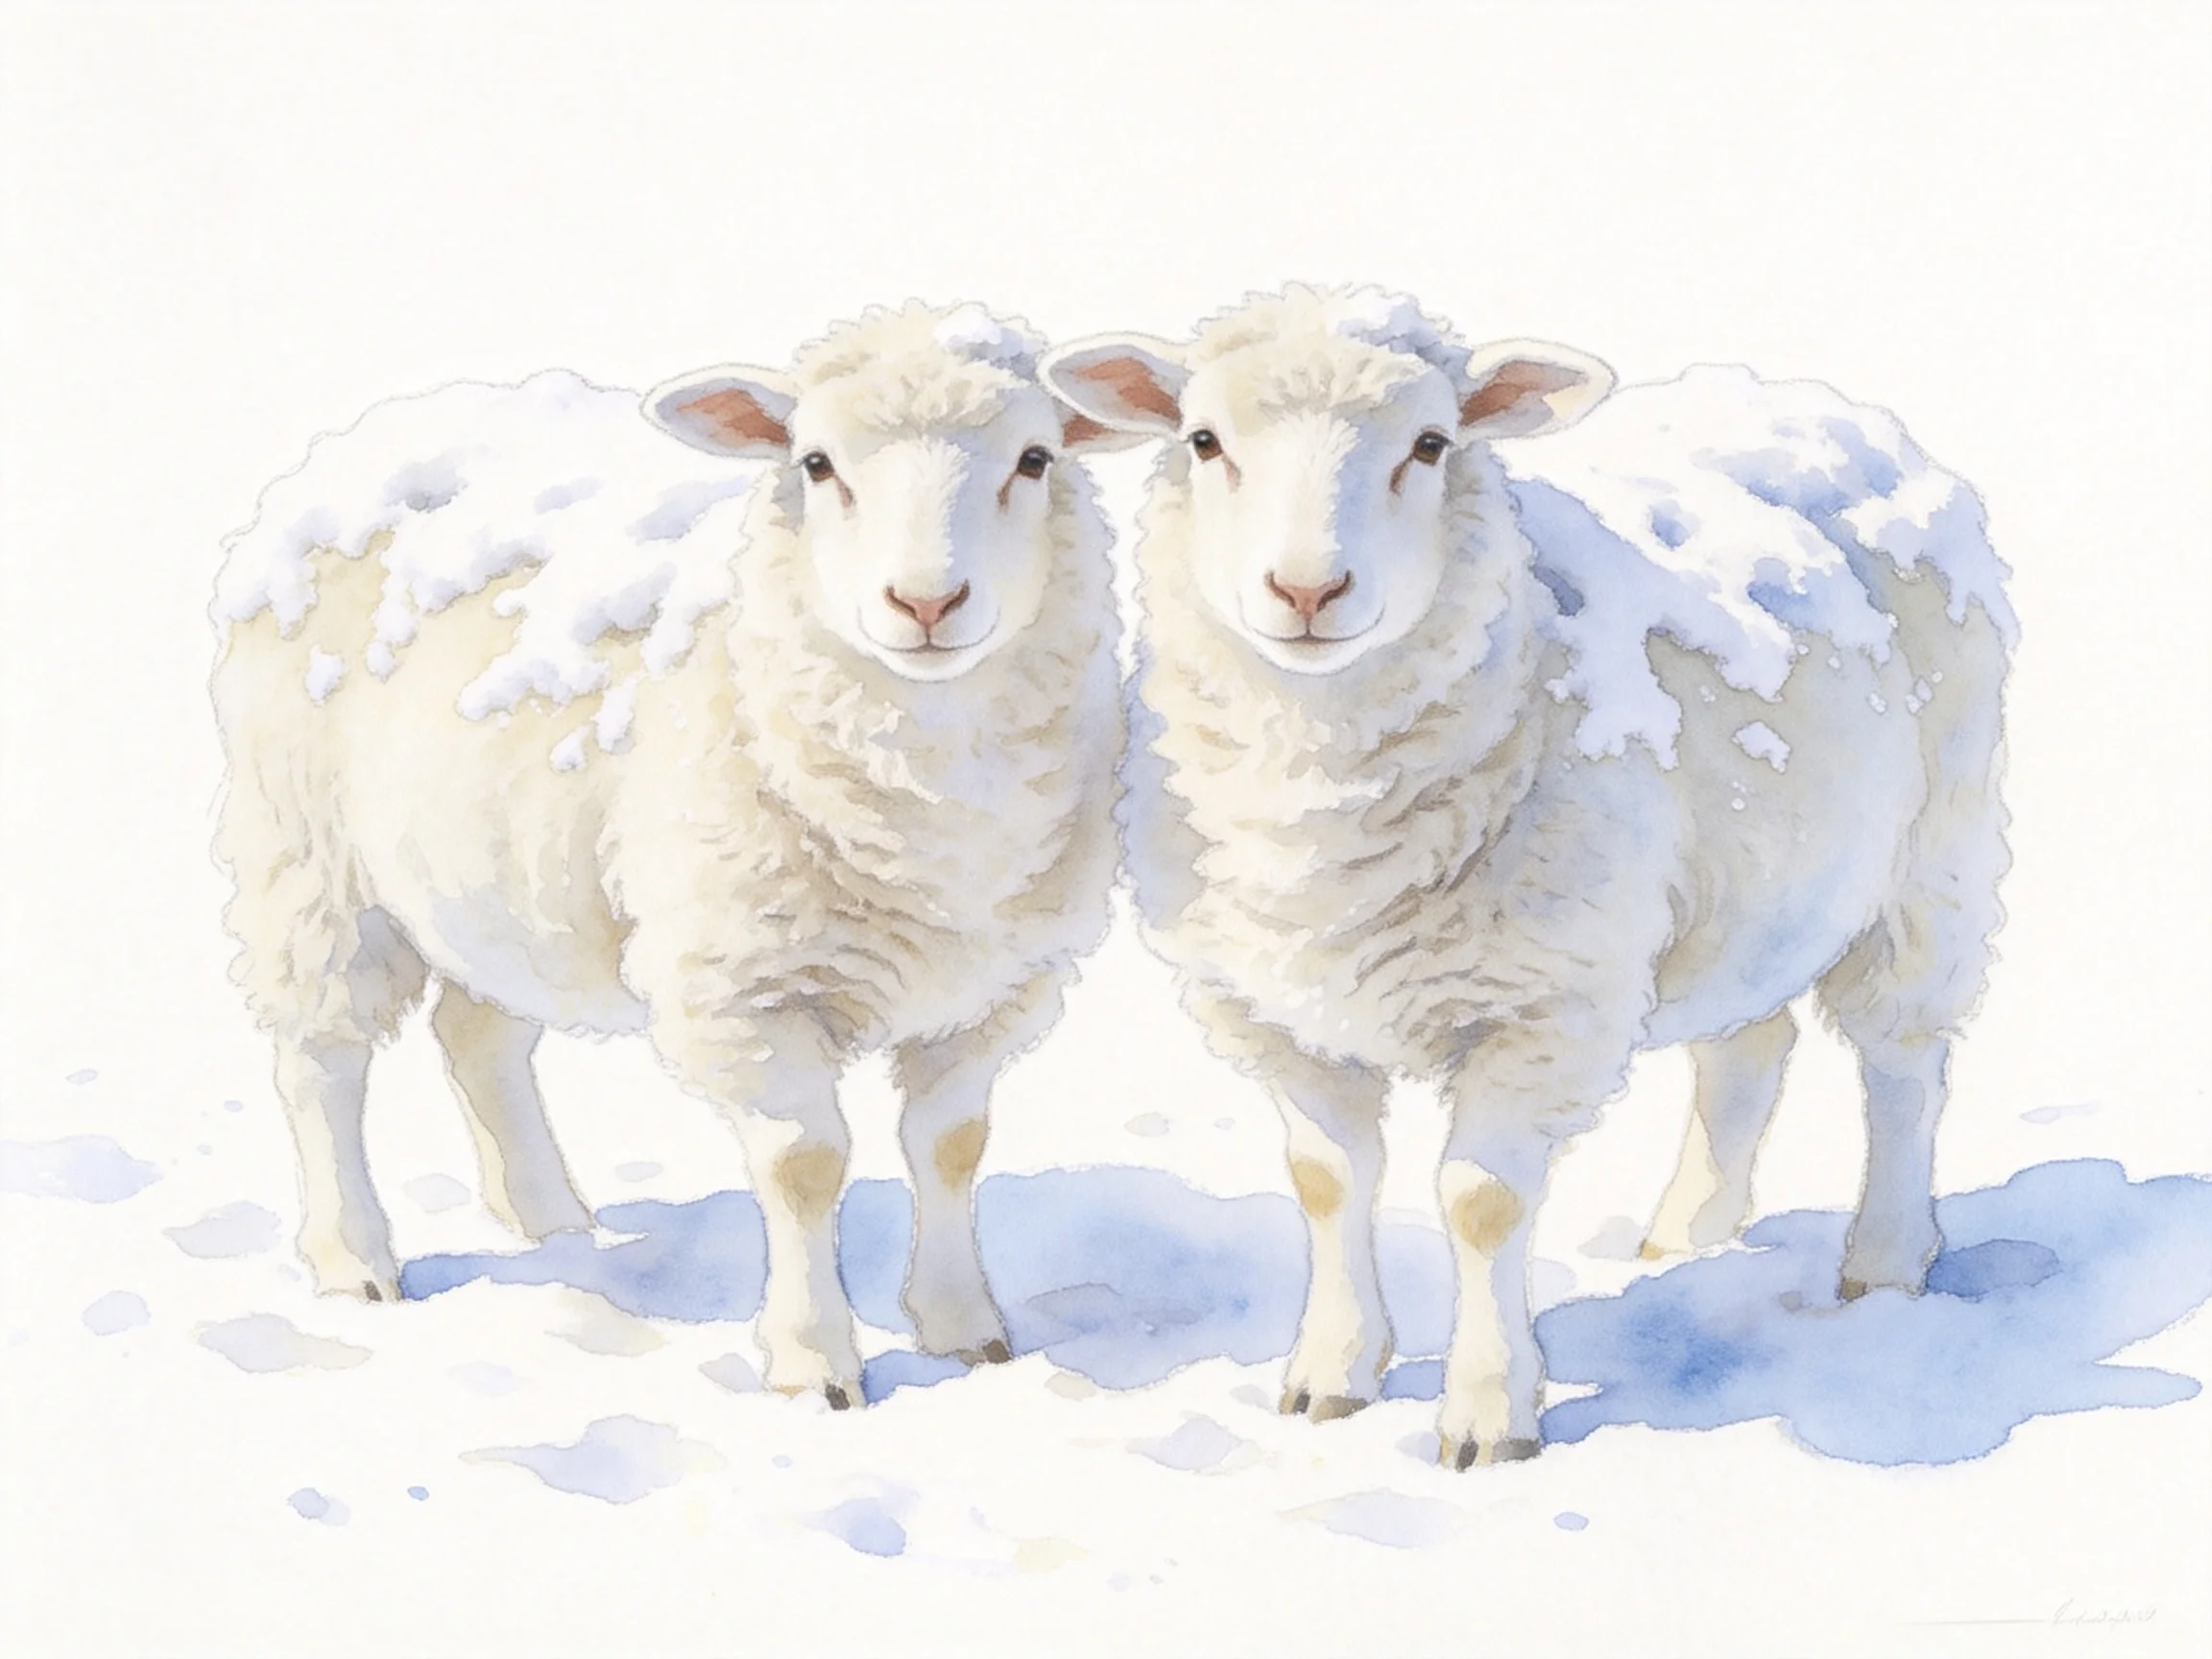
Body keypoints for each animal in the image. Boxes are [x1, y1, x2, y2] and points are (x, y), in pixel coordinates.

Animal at [211, 302, 1127, 1406]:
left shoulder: (994, 989)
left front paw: (965, 1330)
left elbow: (950, 1147)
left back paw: (552, 1223)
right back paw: (354, 1258)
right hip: (311, 854)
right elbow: (806, 1168)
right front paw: (814, 1365)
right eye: (815, 463)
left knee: (478, 1038)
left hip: (498, 880)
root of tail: (374, 430)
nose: (925, 603)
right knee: (321, 1060)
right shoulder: (747, 986)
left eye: (1035, 459)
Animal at [1043, 285, 2013, 1467]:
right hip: (1749, 891)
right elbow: (1326, 1184)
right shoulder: (1280, 1013)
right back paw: (1686, 1241)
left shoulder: (1540, 1006)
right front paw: (1329, 1375)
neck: (1320, 798)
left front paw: (1486, 1415)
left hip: (1932, 856)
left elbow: (1480, 1205)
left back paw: (1885, 1262)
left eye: (1430, 443)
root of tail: (1817, 401)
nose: (1308, 589)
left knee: (1903, 1063)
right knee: (1749, 1048)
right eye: (1203, 441)